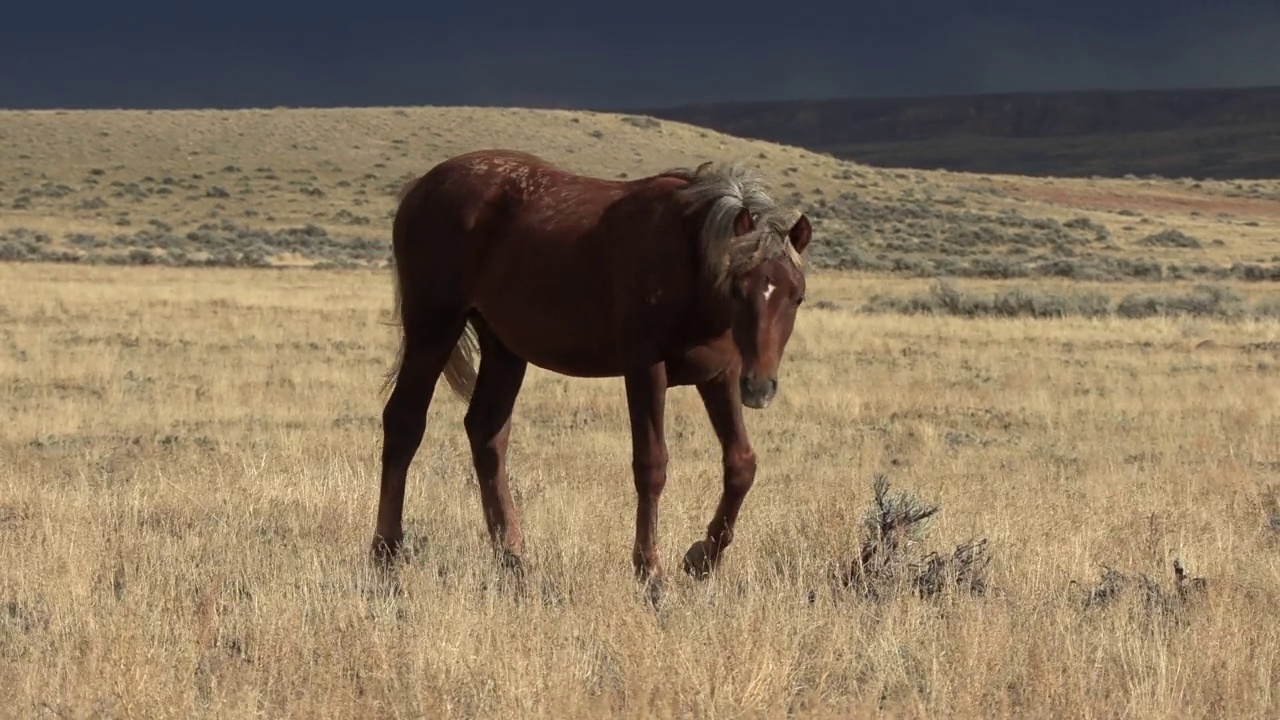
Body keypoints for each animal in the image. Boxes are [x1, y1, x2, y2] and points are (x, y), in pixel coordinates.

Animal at [371, 146, 808, 589]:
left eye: (797, 296)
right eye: (738, 289)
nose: (760, 389)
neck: (689, 264)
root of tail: (422, 185)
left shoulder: (721, 378)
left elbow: (741, 465)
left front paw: (703, 558)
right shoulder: (646, 370)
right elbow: (651, 465)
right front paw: (650, 573)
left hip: (504, 348)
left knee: (487, 433)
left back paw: (513, 559)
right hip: (433, 328)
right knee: (404, 424)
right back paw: (385, 557)